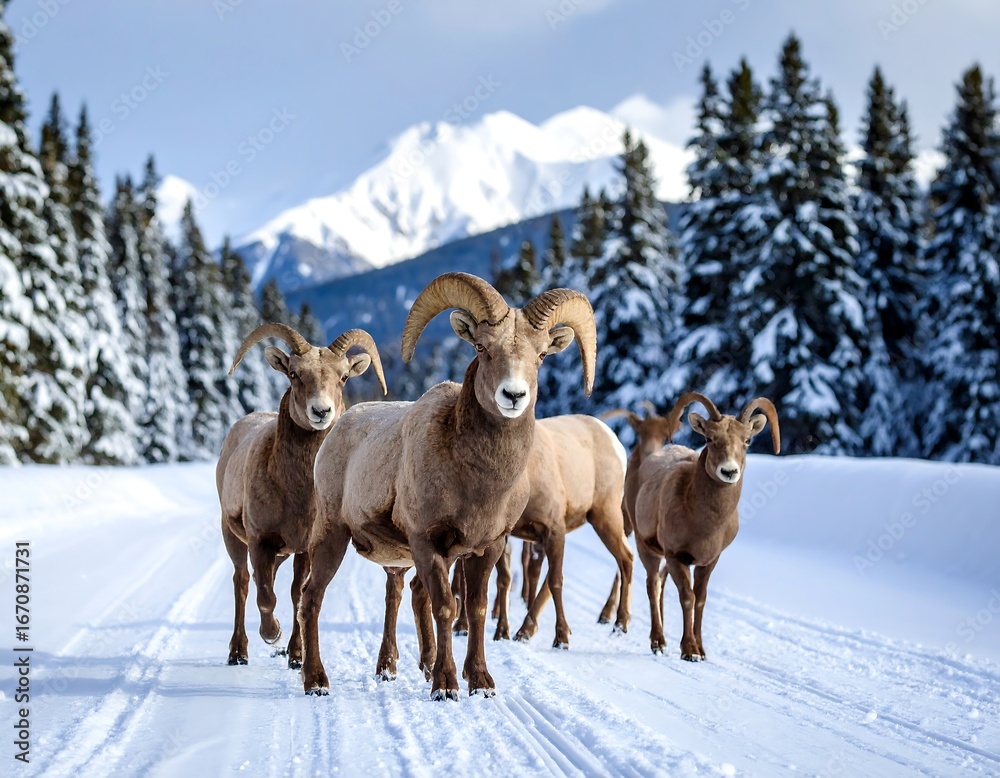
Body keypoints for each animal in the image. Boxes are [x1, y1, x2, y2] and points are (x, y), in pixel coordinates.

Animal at [216, 322, 386, 667]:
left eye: (344, 377)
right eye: (294, 374)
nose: (321, 411)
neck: (295, 493)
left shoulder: (304, 547)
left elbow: (296, 593)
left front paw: (295, 654)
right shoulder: (259, 541)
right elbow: (265, 596)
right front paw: (272, 635)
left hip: (282, 553)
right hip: (232, 537)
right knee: (242, 583)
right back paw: (238, 652)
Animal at [299, 272, 596, 699]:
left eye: (541, 355)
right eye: (482, 347)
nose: (513, 395)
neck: (476, 480)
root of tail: (337, 427)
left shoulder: (487, 547)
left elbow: (475, 609)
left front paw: (481, 682)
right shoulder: (426, 541)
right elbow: (445, 607)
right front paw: (445, 686)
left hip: (403, 558)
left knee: (402, 594)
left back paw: (397, 668)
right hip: (332, 536)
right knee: (312, 598)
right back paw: (316, 681)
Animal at [451, 414, 633, 649]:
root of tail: (617, 444)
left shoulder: (554, 527)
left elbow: (556, 581)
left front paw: (562, 637)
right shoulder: (507, 534)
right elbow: (504, 579)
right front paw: (502, 631)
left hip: (605, 513)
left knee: (626, 558)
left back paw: (620, 624)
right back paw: (525, 629)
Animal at [631, 391, 780, 659]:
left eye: (747, 440)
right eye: (710, 439)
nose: (729, 471)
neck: (703, 522)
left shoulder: (709, 561)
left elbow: (700, 599)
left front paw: (700, 649)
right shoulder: (676, 557)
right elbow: (687, 598)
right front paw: (689, 650)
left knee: (660, 585)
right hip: (646, 547)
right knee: (653, 585)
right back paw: (658, 643)